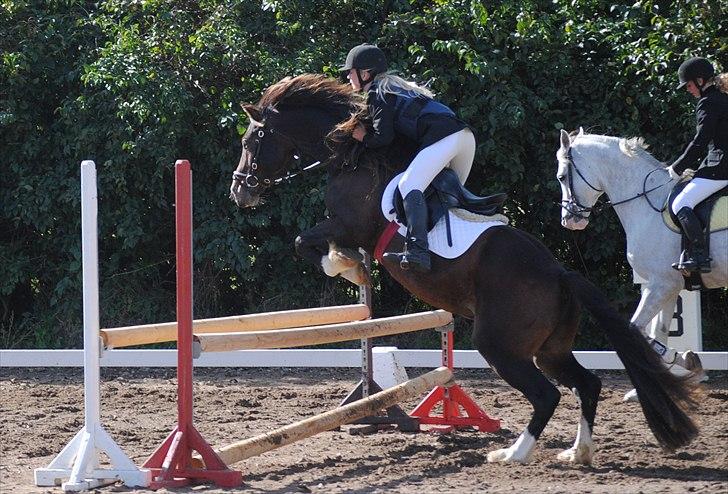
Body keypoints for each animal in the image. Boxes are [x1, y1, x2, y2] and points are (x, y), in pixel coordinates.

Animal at [230, 73, 704, 464]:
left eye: (252, 141)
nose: (240, 191)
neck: (355, 155)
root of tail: (558, 273)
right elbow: (310, 243)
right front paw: (350, 268)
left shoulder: (349, 224)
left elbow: (305, 242)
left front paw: (346, 268)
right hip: (549, 349)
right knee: (586, 385)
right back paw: (578, 452)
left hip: (500, 344)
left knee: (546, 395)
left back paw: (513, 454)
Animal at [556, 129, 724, 396]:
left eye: (562, 177)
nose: (569, 221)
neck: (645, 200)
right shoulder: (669, 285)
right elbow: (658, 333)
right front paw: (684, 363)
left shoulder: (661, 284)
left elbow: (635, 329)